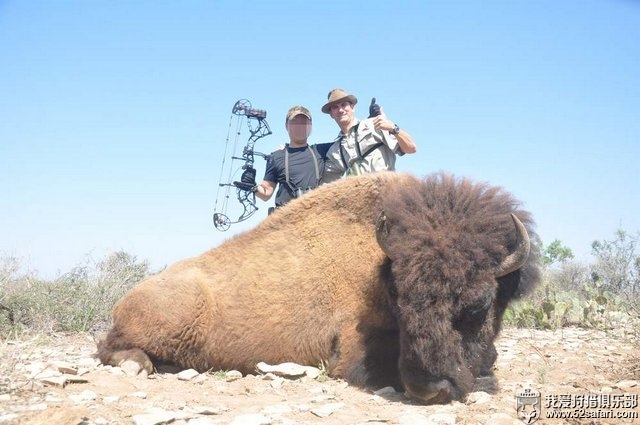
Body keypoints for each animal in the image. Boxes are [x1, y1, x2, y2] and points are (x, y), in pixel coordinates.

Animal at [99, 171, 540, 404]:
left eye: (479, 304)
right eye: (398, 297)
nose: (428, 387)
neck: (380, 261)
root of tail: (125, 300)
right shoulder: (353, 354)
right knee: (108, 348)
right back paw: (139, 364)